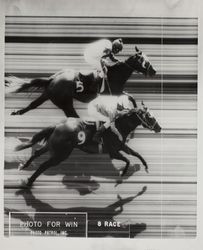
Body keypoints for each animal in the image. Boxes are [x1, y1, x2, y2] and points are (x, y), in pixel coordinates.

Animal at [5, 45, 156, 117]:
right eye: (144, 61)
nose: (154, 71)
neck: (115, 74)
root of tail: (53, 79)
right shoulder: (110, 94)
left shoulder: (117, 92)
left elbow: (130, 97)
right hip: (65, 103)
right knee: (73, 116)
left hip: (48, 95)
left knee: (33, 105)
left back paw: (16, 112)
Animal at [15, 102, 162, 188]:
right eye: (150, 116)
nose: (159, 128)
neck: (119, 125)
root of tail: (57, 126)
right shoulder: (113, 151)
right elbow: (127, 159)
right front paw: (123, 173)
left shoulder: (121, 146)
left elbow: (136, 154)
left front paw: (145, 166)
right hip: (61, 154)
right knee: (43, 165)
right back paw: (29, 182)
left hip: (53, 147)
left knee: (36, 153)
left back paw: (24, 166)